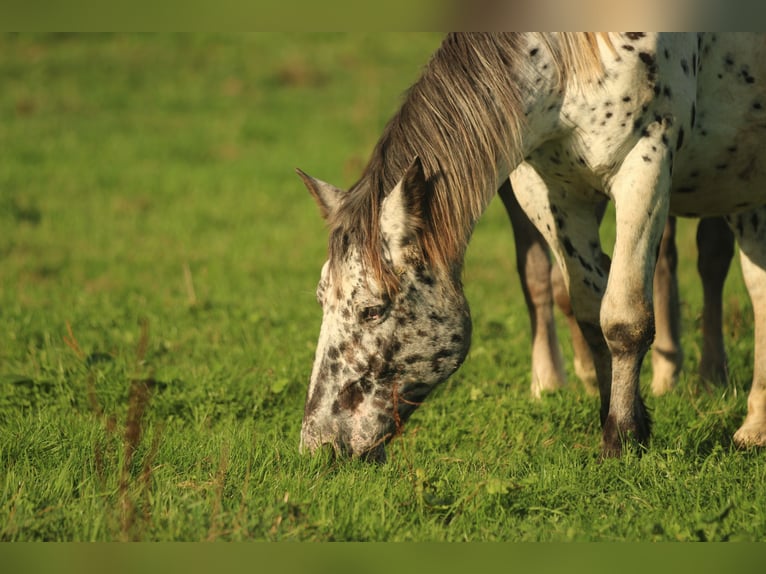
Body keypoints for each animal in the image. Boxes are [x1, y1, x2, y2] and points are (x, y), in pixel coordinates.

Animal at [298, 33, 766, 462]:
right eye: (320, 299)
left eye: (372, 310)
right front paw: (615, 416)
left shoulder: (645, 162)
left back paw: (745, 419)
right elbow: (589, 314)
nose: (318, 444)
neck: (573, 59)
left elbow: (623, 319)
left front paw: (622, 438)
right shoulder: (552, 191)